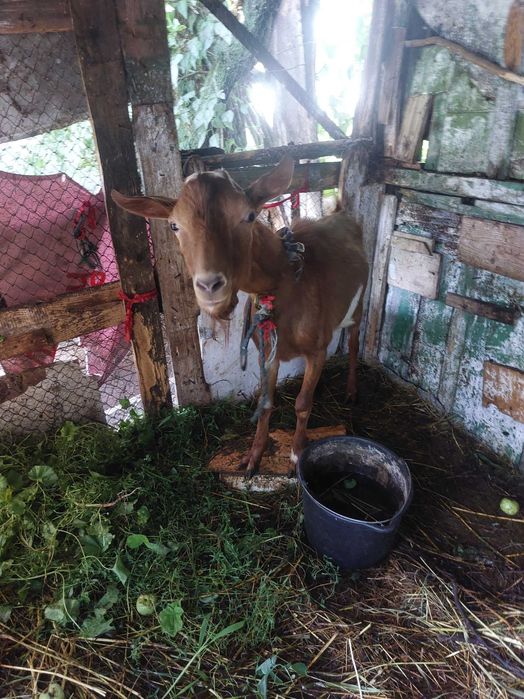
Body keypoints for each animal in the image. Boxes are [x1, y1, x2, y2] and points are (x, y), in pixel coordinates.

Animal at [112, 157, 368, 476]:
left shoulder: (318, 349)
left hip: (360, 302)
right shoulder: (267, 350)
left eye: (248, 215)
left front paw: (298, 453)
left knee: (355, 340)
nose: (210, 285)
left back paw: (352, 391)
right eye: (174, 225)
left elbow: (302, 403)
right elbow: (266, 402)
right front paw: (253, 455)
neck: (287, 280)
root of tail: (343, 214)